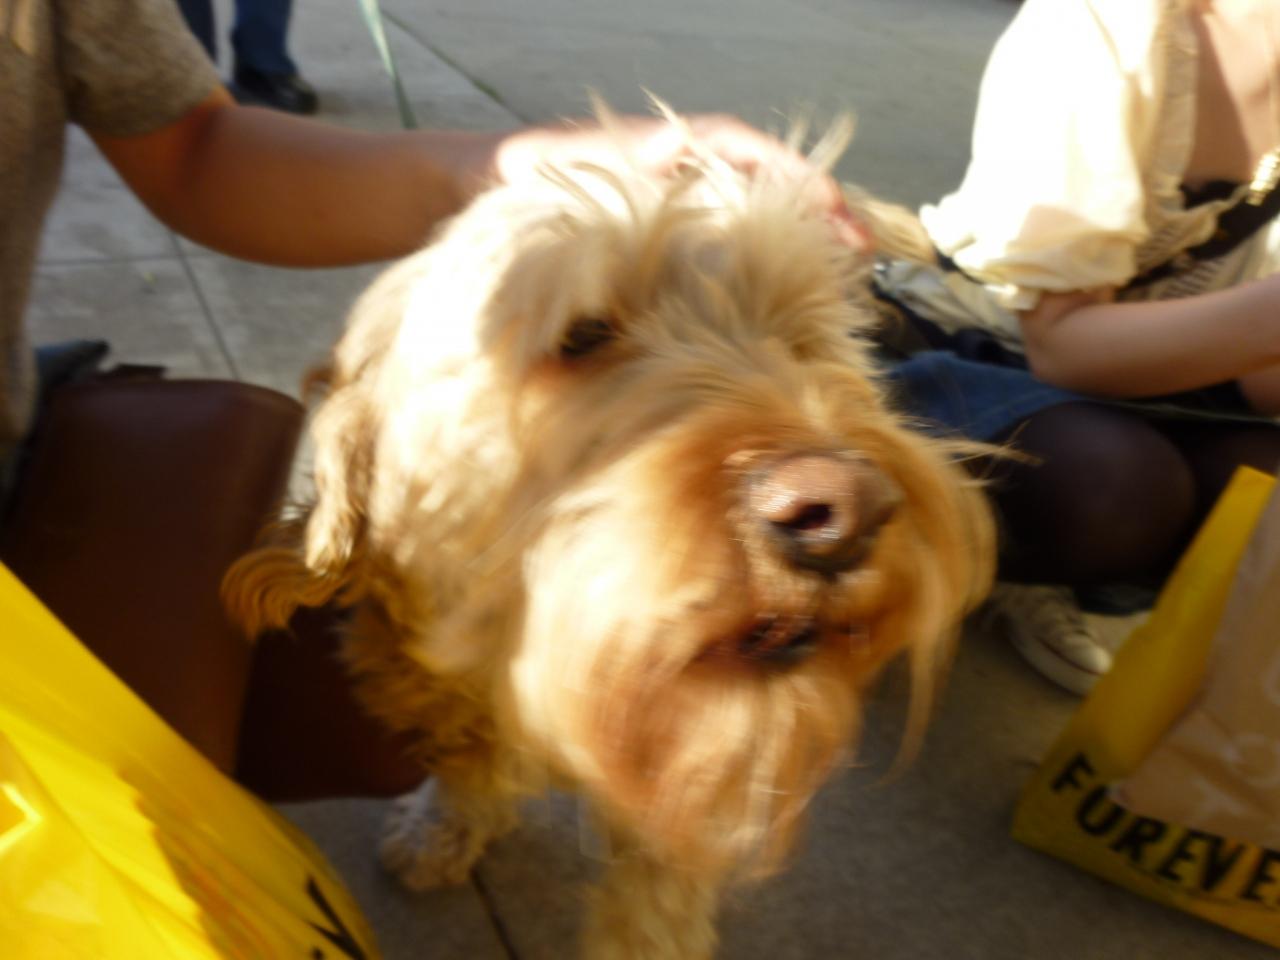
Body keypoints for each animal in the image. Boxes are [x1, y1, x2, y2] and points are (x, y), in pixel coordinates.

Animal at [224, 113, 994, 959]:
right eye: (584, 335)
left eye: (799, 340)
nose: (844, 518)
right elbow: (469, 762)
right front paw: (445, 825)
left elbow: (655, 904)